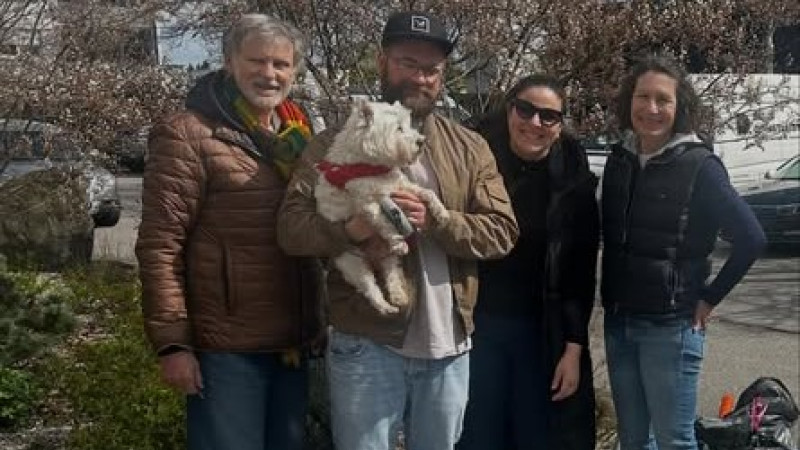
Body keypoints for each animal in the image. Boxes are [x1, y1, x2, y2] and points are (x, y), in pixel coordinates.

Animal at [315, 100, 450, 315]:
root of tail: (374, 259)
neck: (372, 165)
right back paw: (386, 306)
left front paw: (441, 212)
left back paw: (399, 296)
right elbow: (385, 221)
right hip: (352, 262)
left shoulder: (401, 186)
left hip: (387, 256)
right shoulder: (368, 202)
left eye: (408, 124)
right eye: (399, 128)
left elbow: (428, 193)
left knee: (391, 274)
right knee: (370, 287)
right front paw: (397, 238)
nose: (421, 141)